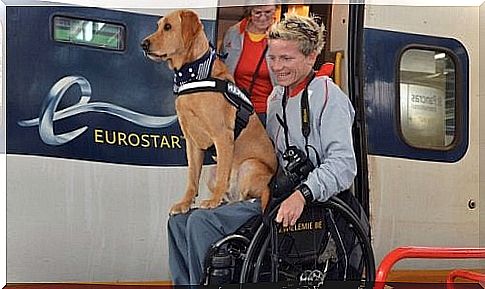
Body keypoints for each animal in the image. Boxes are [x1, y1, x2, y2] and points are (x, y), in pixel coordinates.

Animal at [141, 9, 276, 214]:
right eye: (158, 26)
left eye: (168, 27)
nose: (143, 45)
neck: (195, 75)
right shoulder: (192, 143)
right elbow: (192, 178)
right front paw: (185, 203)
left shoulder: (223, 137)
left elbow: (222, 176)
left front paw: (212, 201)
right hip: (212, 171)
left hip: (249, 165)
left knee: (248, 197)